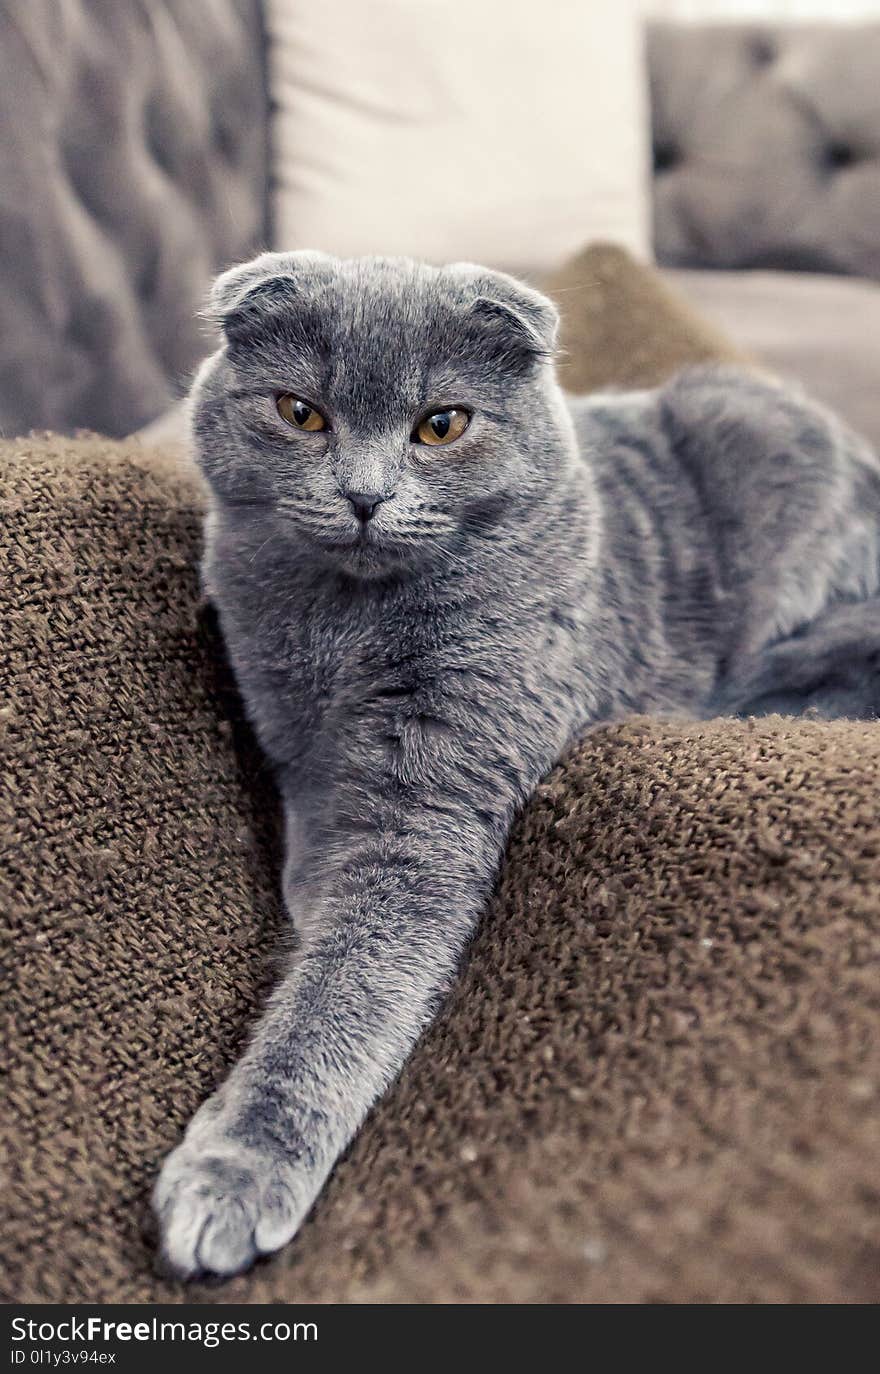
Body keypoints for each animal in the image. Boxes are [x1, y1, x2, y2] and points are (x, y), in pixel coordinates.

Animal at [154, 250, 880, 1275]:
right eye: (301, 413)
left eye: (441, 424)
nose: (365, 496)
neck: (341, 634)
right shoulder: (288, 735)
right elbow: (313, 849)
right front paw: (303, 896)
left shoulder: (430, 805)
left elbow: (345, 989)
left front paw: (232, 1176)